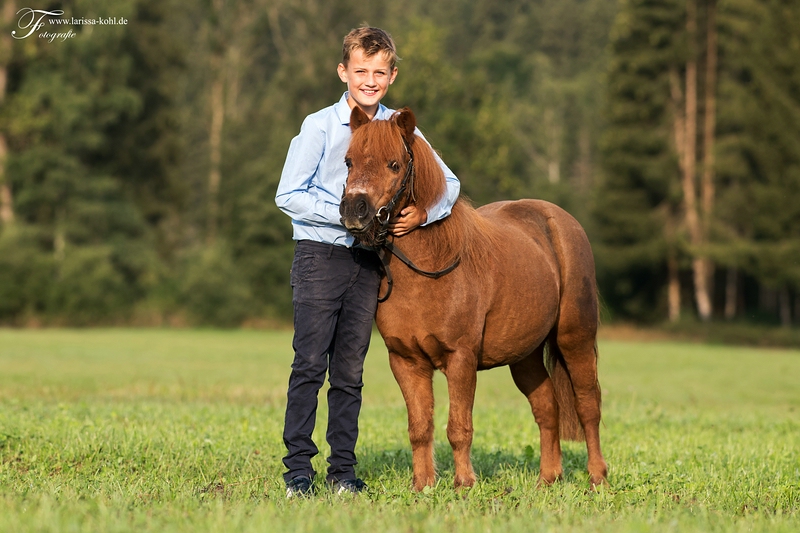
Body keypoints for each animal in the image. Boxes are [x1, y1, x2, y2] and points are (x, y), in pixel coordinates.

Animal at [338, 105, 608, 490]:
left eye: (394, 164)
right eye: (349, 161)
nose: (353, 211)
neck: (430, 268)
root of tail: (559, 220)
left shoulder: (460, 359)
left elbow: (458, 427)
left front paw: (464, 483)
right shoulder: (406, 361)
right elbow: (420, 427)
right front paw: (422, 484)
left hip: (575, 340)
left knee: (588, 404)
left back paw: (597, 476)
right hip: (524, 356)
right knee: (547, 407)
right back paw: (548, 478)